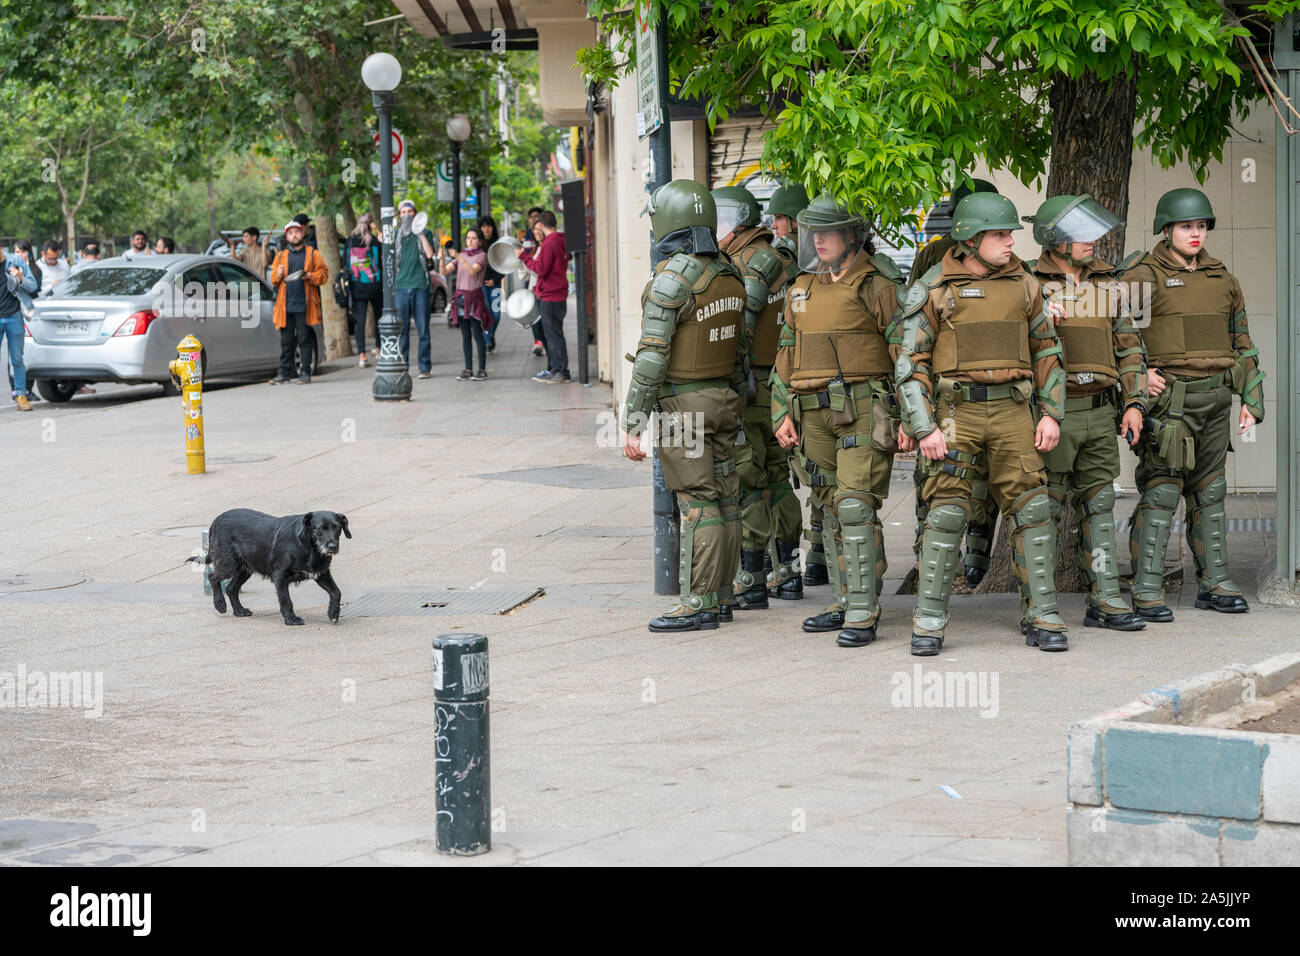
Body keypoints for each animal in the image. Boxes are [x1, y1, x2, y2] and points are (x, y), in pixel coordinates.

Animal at [188, 509, 351, 629]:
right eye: (320, 529)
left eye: (337, 528)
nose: (332, 547)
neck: (307, 546)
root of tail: (216, 520)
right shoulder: (280, 576)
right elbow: (286, 600)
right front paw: (291, 619)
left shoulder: (321, 573)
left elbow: (336, 592)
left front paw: (333, 613)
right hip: (229, 564)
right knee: (213, 577)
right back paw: (220, 605)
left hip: (245, 569)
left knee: (230, 588)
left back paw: (239, 611)